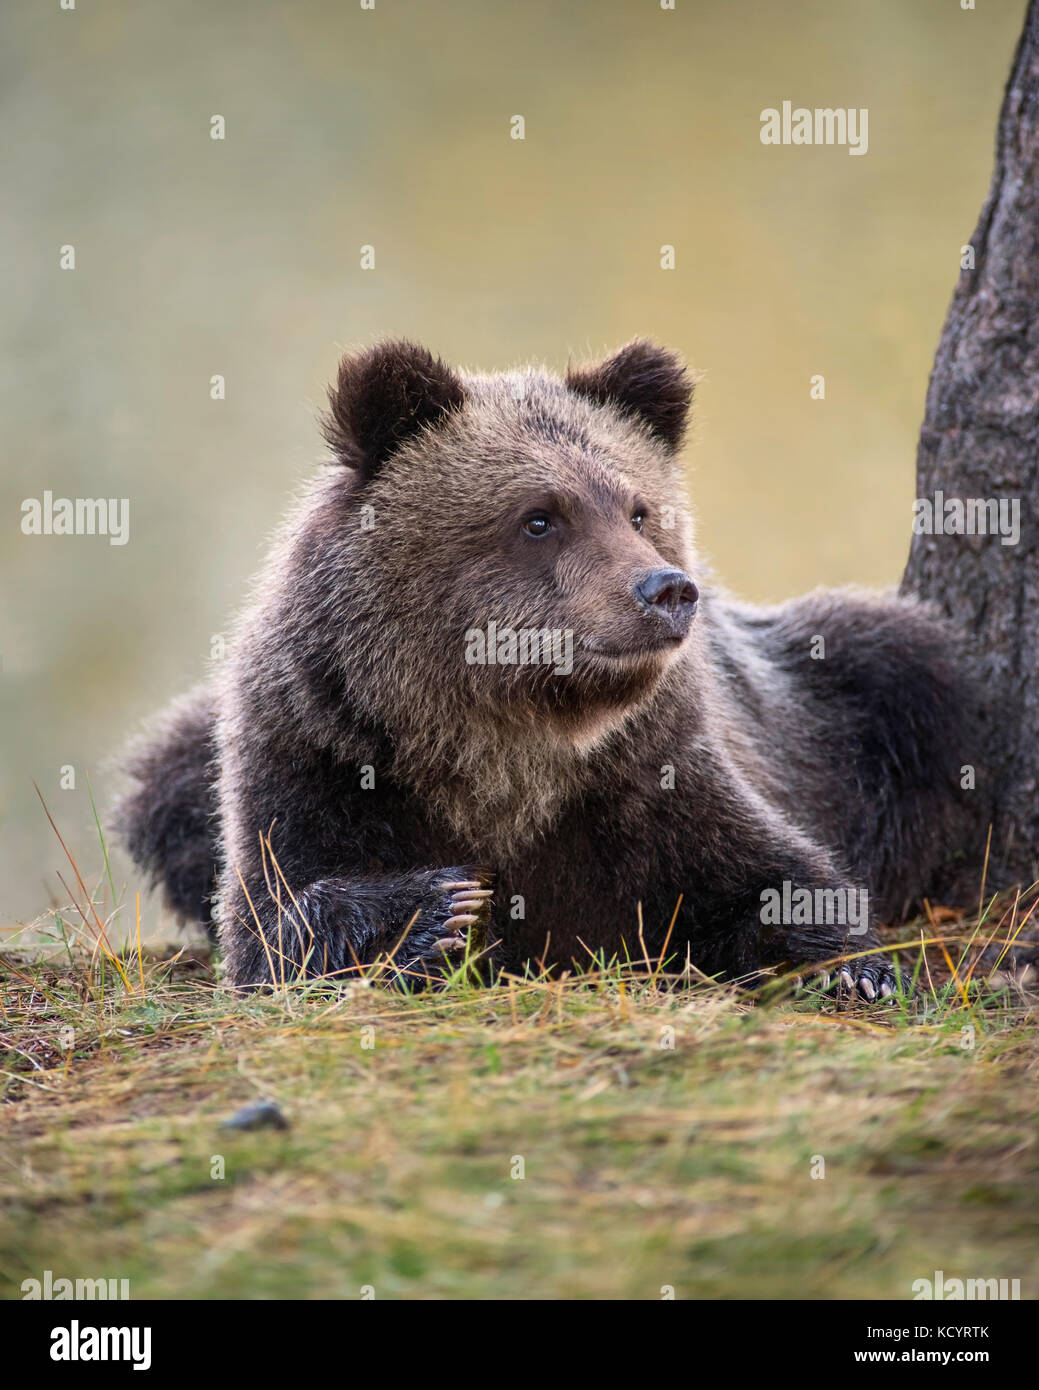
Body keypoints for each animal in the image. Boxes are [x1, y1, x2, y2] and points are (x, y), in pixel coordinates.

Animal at [117, 337, 979, 1000]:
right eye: (539, 518)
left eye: (637, 510)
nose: (666, 590)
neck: (506, 743)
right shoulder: (321, 749)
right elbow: (270, 918)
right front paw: (435, 910)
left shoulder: (648, 774)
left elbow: (773, 876)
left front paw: (850, 970)